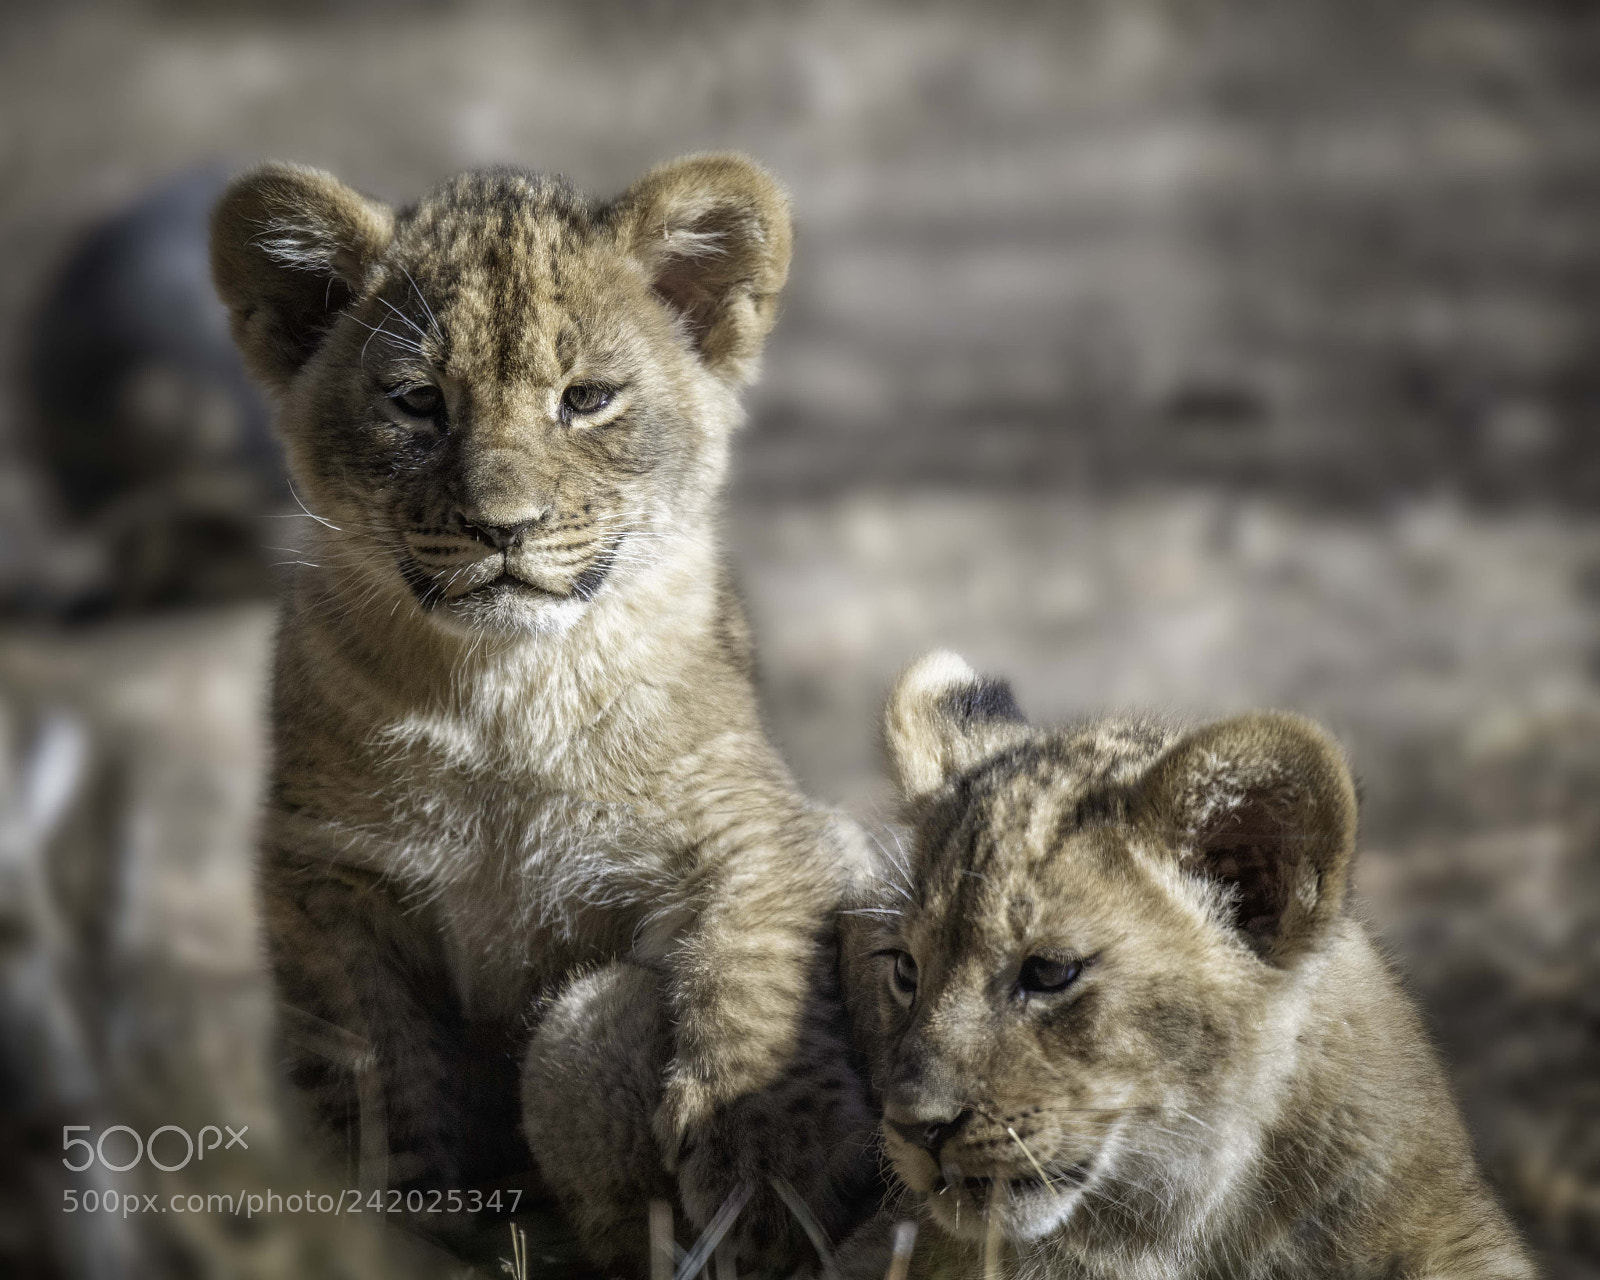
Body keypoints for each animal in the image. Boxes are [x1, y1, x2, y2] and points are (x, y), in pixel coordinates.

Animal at [209, 155, 876, 1270]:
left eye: (587, 399)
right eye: (417, 402)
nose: (501, 527)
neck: (506, 694)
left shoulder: (761, 822)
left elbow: (758, 955)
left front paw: (767, 1167)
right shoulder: (325, 871)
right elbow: (374, 1069)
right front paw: (399, 1222)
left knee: (587, 1025)